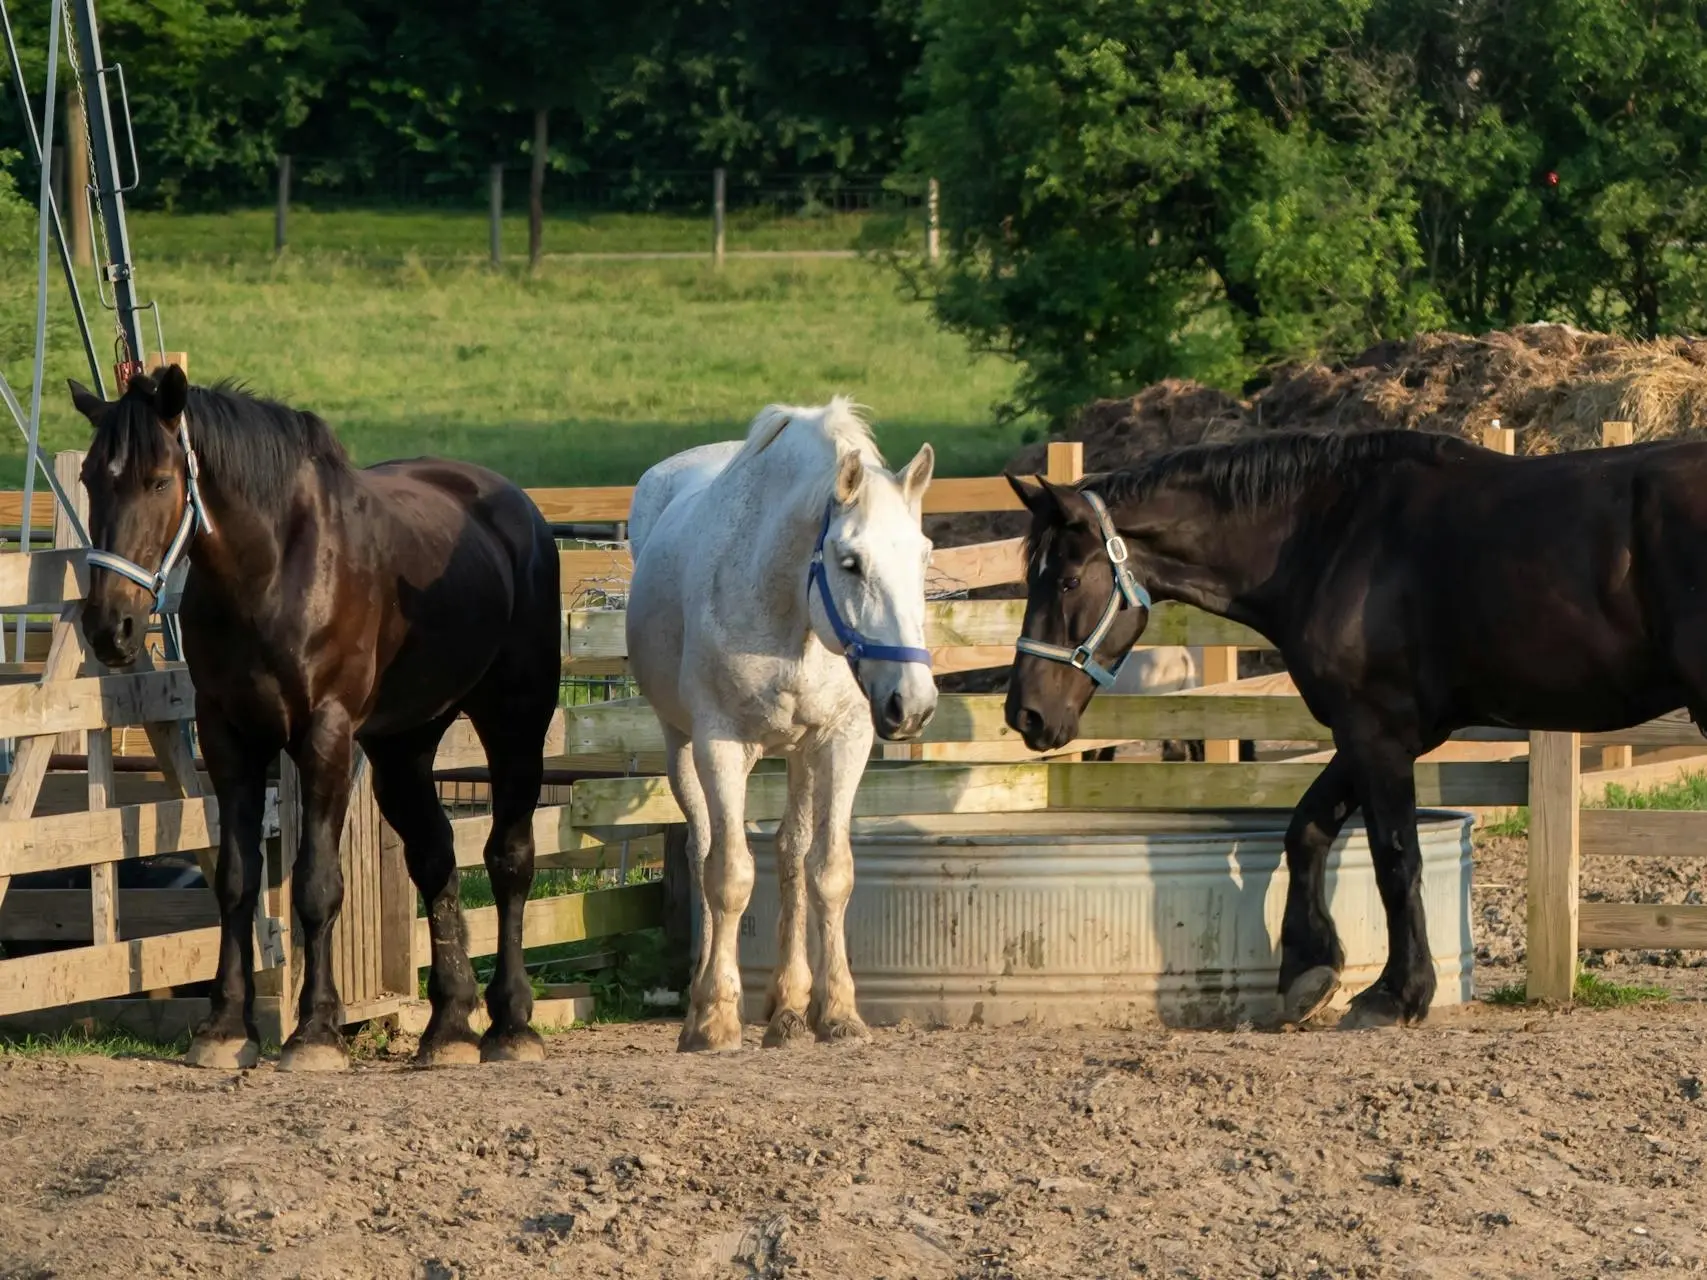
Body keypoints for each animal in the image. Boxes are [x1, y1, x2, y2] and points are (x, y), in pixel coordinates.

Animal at [68, 368, 559, 1071]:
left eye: (160, 480)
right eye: (88, 477)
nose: (112, 627)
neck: (273, 570)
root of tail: (518, 508)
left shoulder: (324, 736)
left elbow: (316, 885)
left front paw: (316, 1030)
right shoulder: (228, 738)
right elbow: (236, 879)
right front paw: (225, 1028)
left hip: (515, 719)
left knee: (509, 859)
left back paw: (512, 1024)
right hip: (402, 746)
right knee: (435, 856)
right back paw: (448, 1027)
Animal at [624, 401, 935, 1051]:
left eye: (923, 556)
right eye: (851, 563)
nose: (912, 704)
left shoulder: (844, 742)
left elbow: (828, 871)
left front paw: (838, 1012)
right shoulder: (720, 745)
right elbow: (730, 875)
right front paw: (716, 1018)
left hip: (799, 754)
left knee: (791, 855)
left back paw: (789, 1006)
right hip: (681, 748)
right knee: (703, 851)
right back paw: (700, 1001)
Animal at [996, 431, 1707, 1030]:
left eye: (1067, 580)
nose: (1024, 714)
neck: (1331, 534)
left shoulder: (1376, 731)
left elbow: (1396, 857)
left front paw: (1399, 993)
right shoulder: (1374, 732)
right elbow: (1306, 830)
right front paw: (1308, 969)